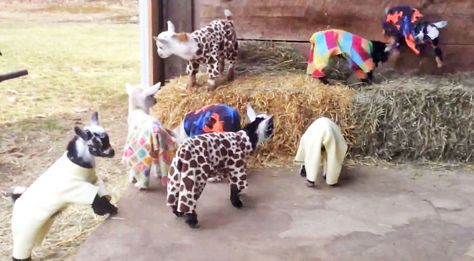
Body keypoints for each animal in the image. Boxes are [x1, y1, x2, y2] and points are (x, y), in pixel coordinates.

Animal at [9, 111, 117, 260]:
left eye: (107, 138)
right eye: (94, 144)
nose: (111, 152)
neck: (76, 163)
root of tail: (17, 200)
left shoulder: (93, 182)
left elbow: (100, 195)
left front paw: (107, 209)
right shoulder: (78, 189)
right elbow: (96, 200)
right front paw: (112, 210)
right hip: (24, 230)